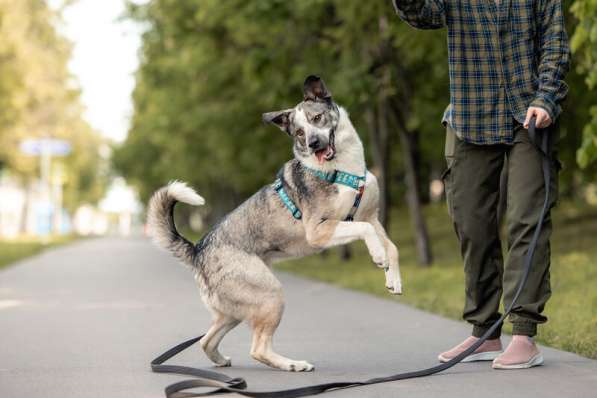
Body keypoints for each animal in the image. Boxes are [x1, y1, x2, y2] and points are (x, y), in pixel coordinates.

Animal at [147, 75, 402, 374]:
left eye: (317, 118)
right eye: (299, 133)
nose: (314, 144)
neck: (344, 168)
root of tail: (198, 250)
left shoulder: (371, 216)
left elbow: (392, 246)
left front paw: (393, 279)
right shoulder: (319, 230)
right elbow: (366, 232)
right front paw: (378, 256)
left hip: (236, 309)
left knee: (206, 340)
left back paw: (221, 361)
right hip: (271, 295)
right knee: (258, 349)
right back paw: (292, 364)